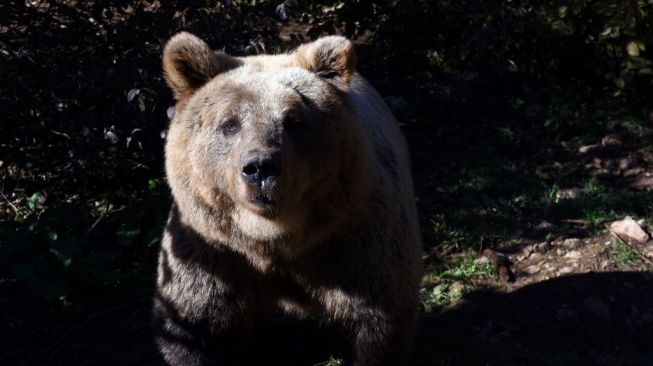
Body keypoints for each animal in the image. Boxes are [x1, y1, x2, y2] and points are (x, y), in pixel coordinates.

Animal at [153, 32, 422, 366]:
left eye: (293, 120)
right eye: (230, 123)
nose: (260, 167)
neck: (273, 239)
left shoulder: (355, 244)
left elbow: (381, 321)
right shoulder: (212, 252)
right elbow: (193, 325)